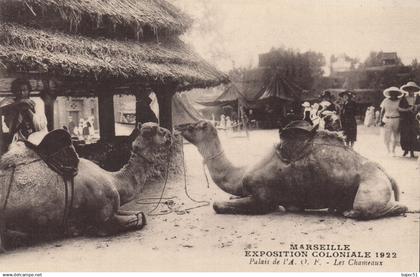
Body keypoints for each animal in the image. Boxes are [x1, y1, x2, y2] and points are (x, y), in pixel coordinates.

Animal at [0, 122, 172, 249]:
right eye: (154, 130)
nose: (170, 134)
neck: (114, 180)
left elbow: (140, 214)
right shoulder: (103, 219)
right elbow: (138, 218)